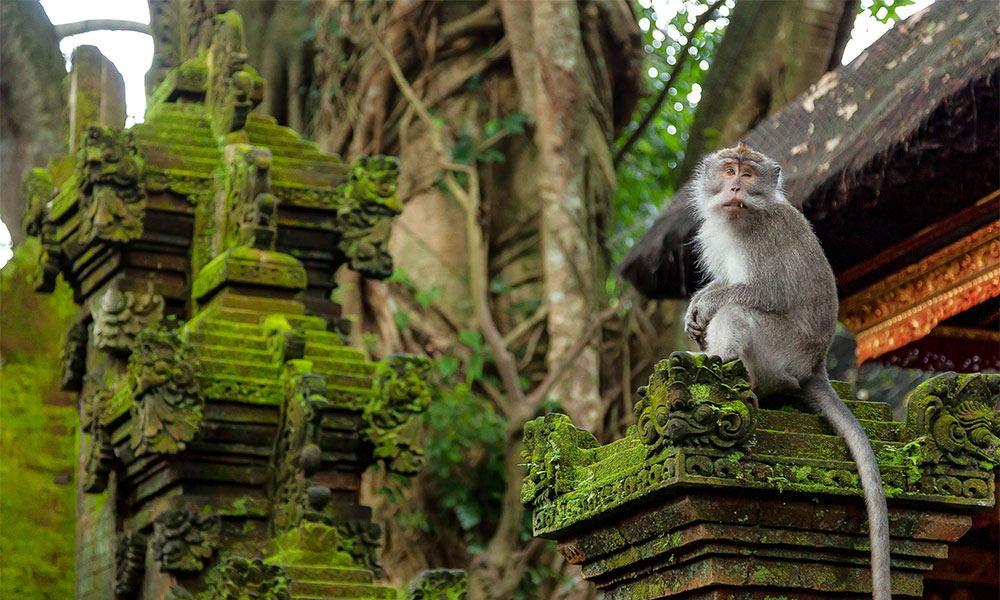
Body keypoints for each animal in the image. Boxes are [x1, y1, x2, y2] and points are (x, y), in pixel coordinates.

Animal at [683, 142, 891, 600]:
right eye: (728, 171)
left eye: (747, 174)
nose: (736, 188)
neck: (742, 219)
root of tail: (816, 365)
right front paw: (694, 311)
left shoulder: (764, 238)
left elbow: (763, 292)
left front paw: (705, 303)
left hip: (785, 351)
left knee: (739, 313)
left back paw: (722, 369)